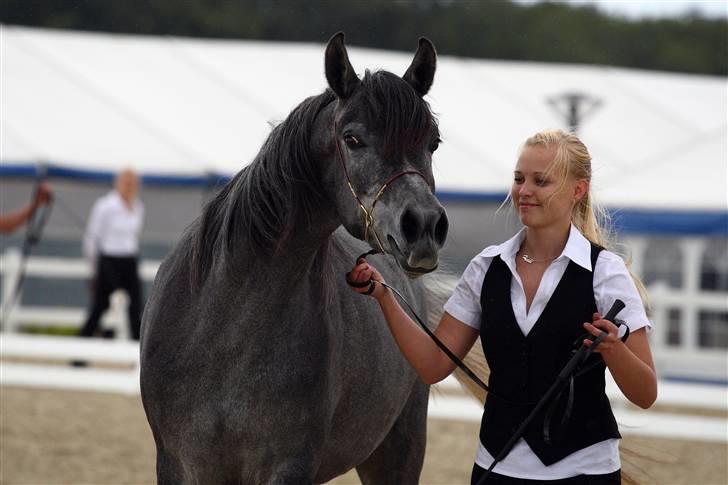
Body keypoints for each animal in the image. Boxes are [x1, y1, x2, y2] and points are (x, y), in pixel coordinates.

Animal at [141, 34, 450, 484]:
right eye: (352, 139)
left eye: (433, 143)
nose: (424, 226)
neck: (226, 328)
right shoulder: (179, 464)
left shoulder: (290, 466)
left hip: (398, 453)